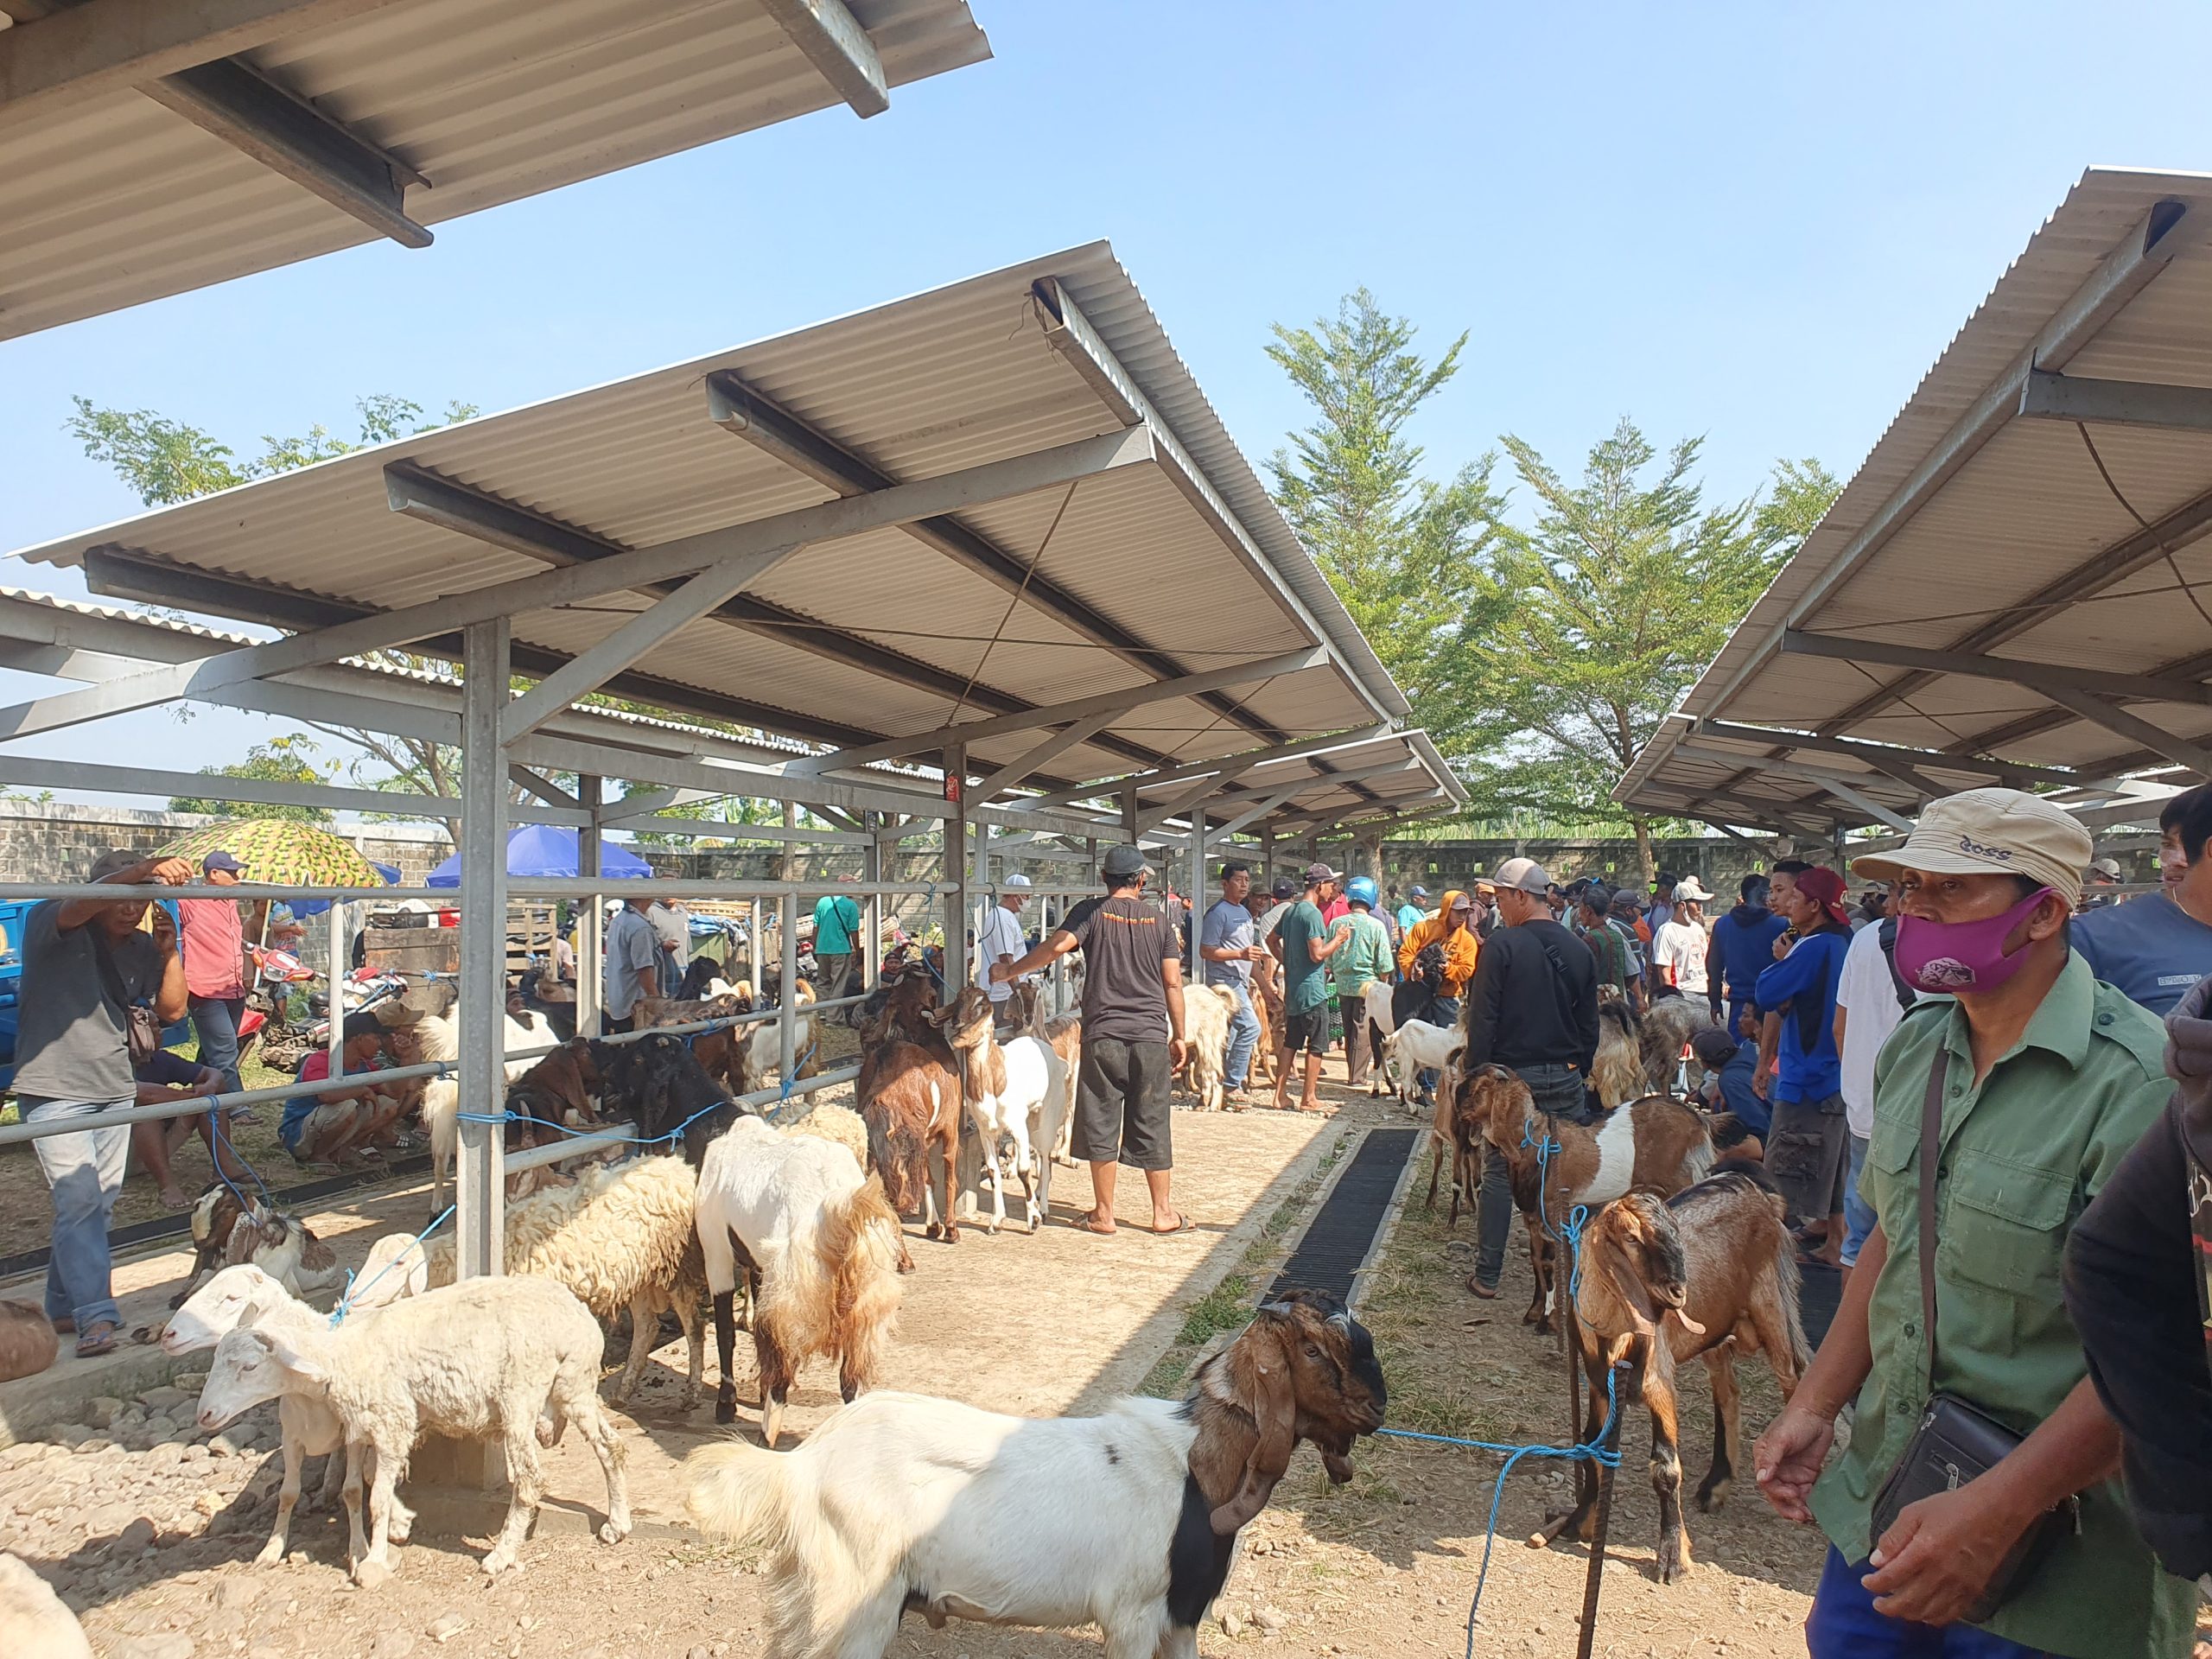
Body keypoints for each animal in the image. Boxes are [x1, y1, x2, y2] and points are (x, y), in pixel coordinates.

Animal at [195, 1282, 628, 1592]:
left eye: (250, 1367)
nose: (205, 1415)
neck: (341, 1352)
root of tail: (579, 1324)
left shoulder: (391, 1420)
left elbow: (375, 1498)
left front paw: (373, 1560)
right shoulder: (379, 1425)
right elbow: (370, 1481)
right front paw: (399, 1526)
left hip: (519, 1394)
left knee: (530, 1479)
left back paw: (502, 1554)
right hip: (574, 1386)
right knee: (612, 1447)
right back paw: (618, 1523)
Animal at [1459, 1071, 1716, 1344]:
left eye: (1480, 1087)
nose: (1457, 1102)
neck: (1538, 1144)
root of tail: (1699, 1123)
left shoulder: (1553, 1217)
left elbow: (1553, 1265)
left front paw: (1549, 1321)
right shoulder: (1533, 1218)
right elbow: (1538, 1262)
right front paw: (1534, 1313)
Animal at [1530, 1167, 1804, 1583]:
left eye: (1675, 1231)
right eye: (1630, 1237)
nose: (1678, 1291)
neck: (1616, 1333)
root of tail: (1754, 1187)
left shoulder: (1659, 1382)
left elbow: (1665, 1467)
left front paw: (1672, 1558)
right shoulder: (1598, 1386)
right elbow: (1592, 1444)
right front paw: (1581, 1520)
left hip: (1771, 1308)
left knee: (1794, 1382)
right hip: (1714, 1333)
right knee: (1728, 1391)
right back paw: (1715, 1486)